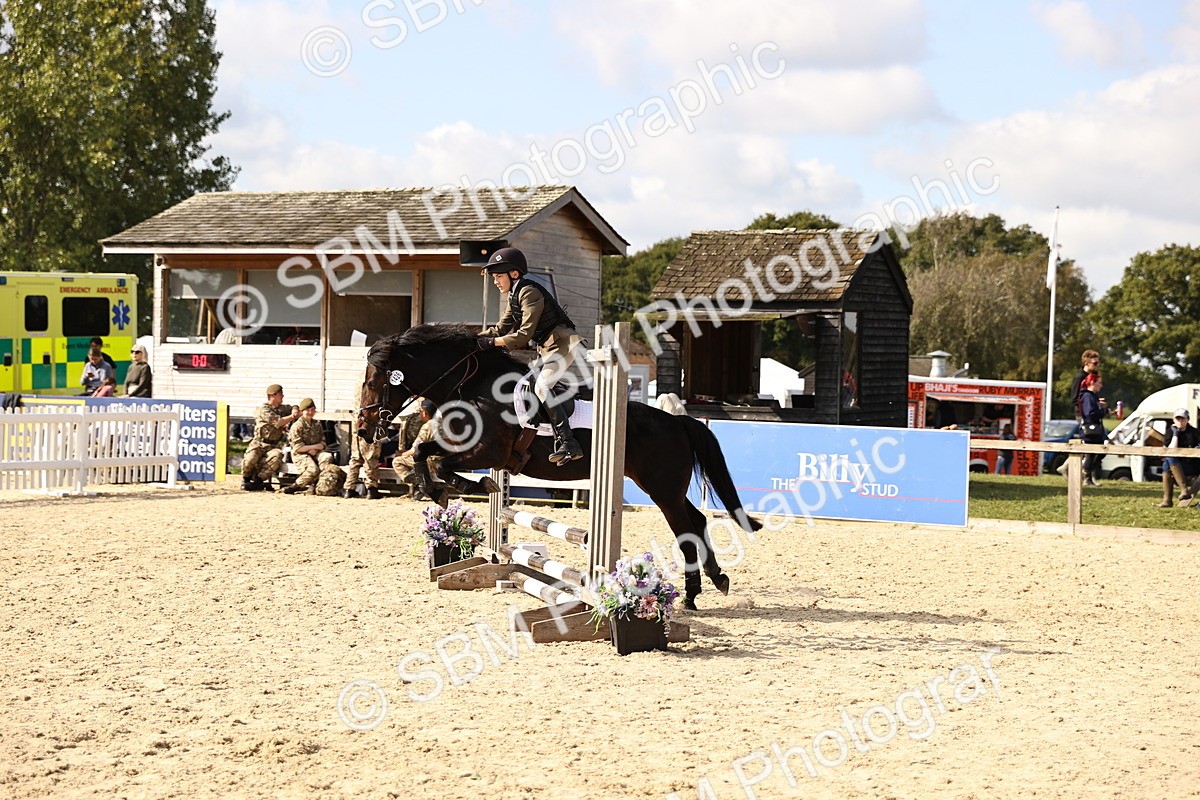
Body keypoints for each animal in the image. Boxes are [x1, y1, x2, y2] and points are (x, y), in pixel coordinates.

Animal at [357, 323, 762, 608]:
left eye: (375, 380)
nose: (363, 428)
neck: (474, 387)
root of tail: (677, 421)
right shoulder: (466, 447)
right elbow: (420, 453)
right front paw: (442, 493)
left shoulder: (489, 453)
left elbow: (437, 460)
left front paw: (470, 487)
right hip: (663, 487)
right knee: (698, 521)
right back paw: (713, 582)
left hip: (662, 489)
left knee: (686, 529)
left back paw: (694, 592)